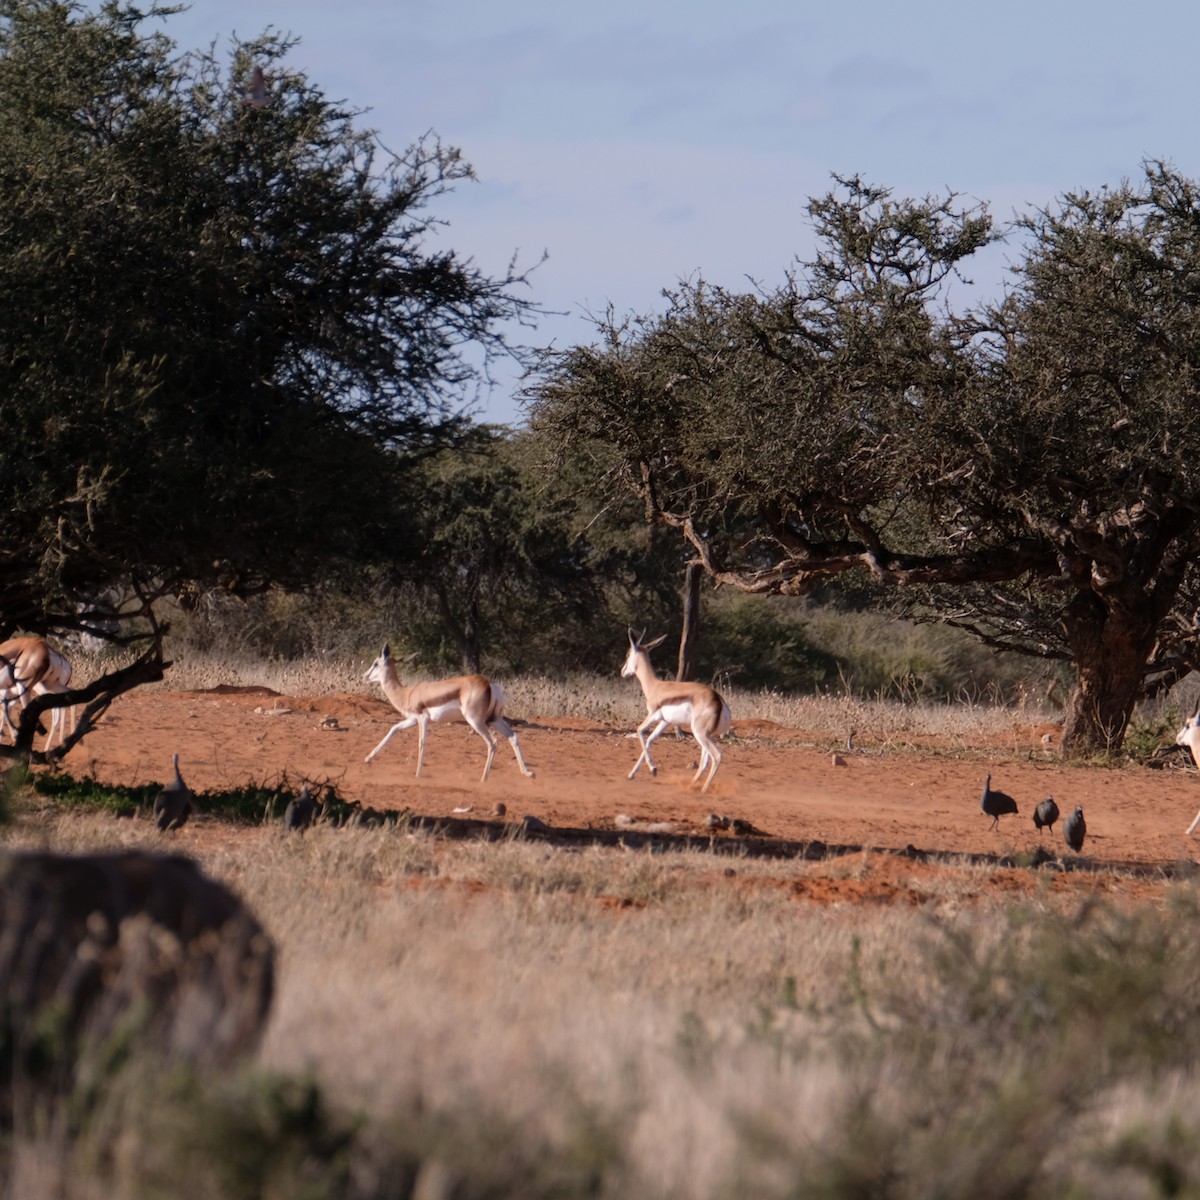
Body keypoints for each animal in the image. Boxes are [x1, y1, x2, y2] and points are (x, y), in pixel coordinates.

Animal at [360, 643, 535, 782]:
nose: (364, 676)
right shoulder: (412, 720)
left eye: (376, 663)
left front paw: (418, 774)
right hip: (495, 719)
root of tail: (489, 684)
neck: (407, 693)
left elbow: (421, 742)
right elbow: (393, 729)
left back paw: (483, 779)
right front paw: (368, 758)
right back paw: (528, 773)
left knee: (492, 742)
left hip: (476, 721)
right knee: (512, 736)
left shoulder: (422, 718)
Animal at [619, 633, 729, 792]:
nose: (623, 671)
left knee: (717, 756)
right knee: (705, 761)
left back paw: (703, 790)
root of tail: (718, 700)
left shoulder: (653, 715)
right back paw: (691, 784)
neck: (655, 686)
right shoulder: (665, 721)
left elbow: (639, 730)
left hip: (700, 733)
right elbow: (650, 739)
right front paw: (633, 774)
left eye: (628, 654)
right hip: (706, 735)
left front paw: (653, 769)